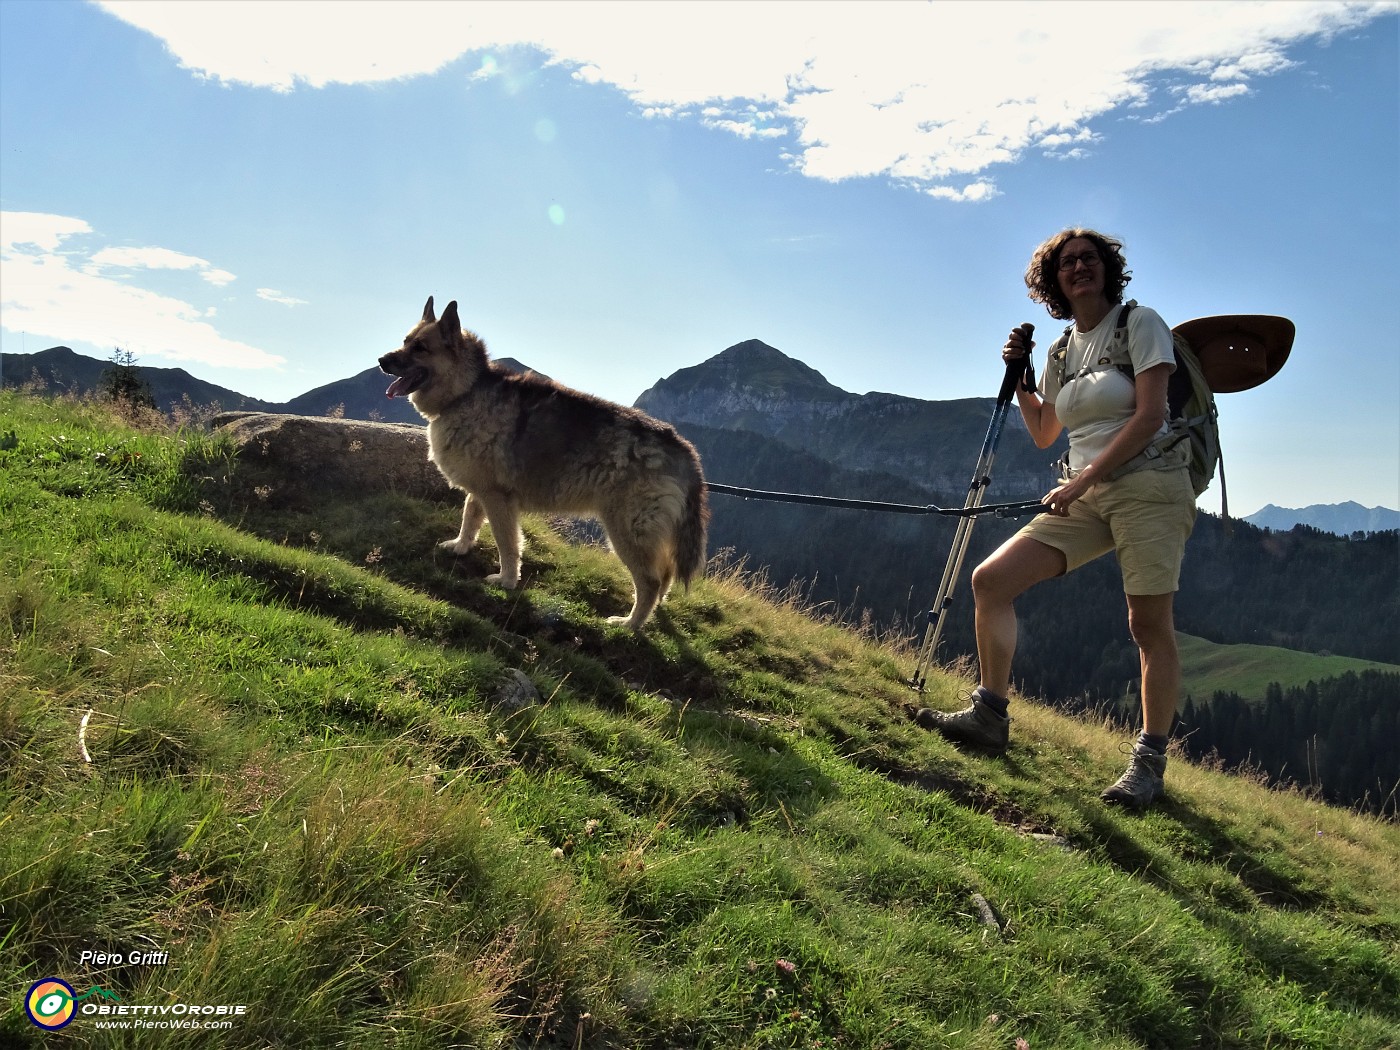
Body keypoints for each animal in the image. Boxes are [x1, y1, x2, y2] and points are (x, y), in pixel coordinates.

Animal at [380, 296, 711, 630]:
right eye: (406, 341)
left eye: (421, 348)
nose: (382, 360)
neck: (466, 391)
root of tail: (684, 449)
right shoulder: (481, 490)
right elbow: (469, 518)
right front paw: (461, 547)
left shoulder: (498, 498)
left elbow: (507, 544)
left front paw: (507, 581)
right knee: (664, 575)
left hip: (627, 531)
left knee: (651, 582)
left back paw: (630, 625)